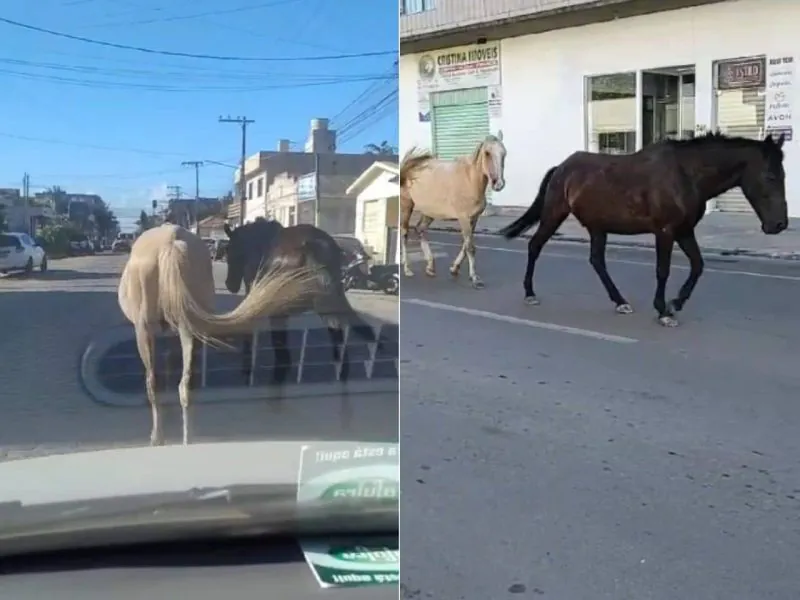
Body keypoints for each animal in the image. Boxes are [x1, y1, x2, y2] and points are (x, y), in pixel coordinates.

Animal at [117, 225, 318, 446]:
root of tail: (171, 244)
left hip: (145, 329)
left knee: (153, 381)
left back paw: (158, 437)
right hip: (189, 326)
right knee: (186, 385)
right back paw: (187, 439)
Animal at [222, 218, 378, 382]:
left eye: (228, 249)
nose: (229, 284)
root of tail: (312, 245)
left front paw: (247, 368)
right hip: (328, 301)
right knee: (340, 334)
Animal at [400, 132, 506, 290]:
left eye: (504, 153)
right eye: (487, 153)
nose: (498, 184)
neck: (470, 181)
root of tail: (410, 166)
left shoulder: (473, 218)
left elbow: (465, 245)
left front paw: (454, 269)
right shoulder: (463, 218)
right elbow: (470, 247)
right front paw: (475, 279)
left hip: (429, 211)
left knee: (420, 229)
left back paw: (430, 267)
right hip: (407, 205)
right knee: (405, 233)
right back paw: (407, 269)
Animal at [500, 133, 788, 326]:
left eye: (783, 175)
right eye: (770, 176)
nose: (780, 224)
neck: (686, 175)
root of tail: (561, 168)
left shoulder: (684, 231)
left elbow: (698, 265)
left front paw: (675, 303)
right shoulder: (665, 231)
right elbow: (663, 270)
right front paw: (663, 310)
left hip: (597, 227)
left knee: (597, 261)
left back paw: (620, 302)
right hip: (554, 214)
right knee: (535, 246)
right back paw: (529, 293)